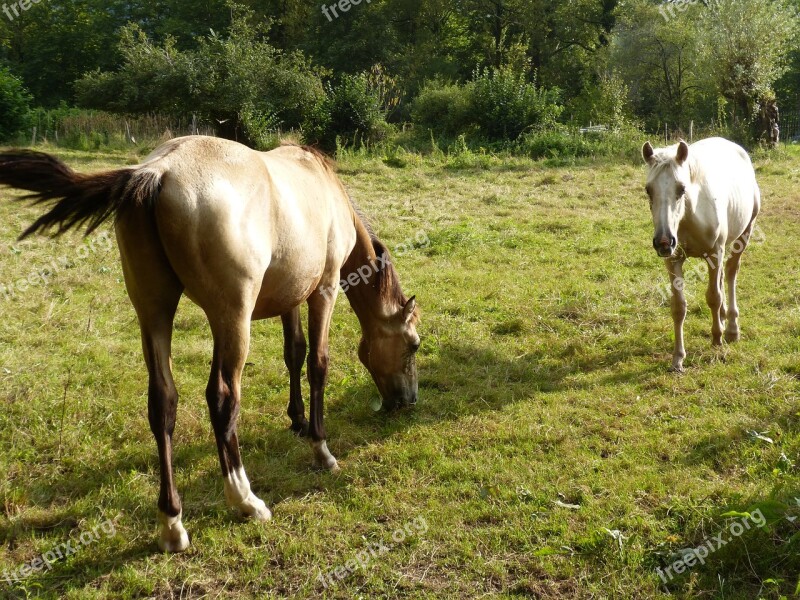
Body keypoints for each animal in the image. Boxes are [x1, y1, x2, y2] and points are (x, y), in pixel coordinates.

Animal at [0, 137, 422, 552]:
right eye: (413, 345)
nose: (408, 400)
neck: (322, 185)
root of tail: (157, 172)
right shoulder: (324, 289)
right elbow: (317, 363)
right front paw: (321, 448)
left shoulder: (290, 297)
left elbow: (294, 354)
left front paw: (298, 420)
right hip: (232, 318)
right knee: (223, 398)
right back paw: (245, 499)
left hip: (155, 312)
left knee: (163, 403)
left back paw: (172, 523)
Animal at [640, 137, 760, 370]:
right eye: (649, 190)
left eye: (681, 188)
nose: (663, 241)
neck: (689, 216)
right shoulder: (673, 260)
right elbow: (678, 307)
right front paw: (678, 358)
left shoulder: (714, 253)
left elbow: (714, 296)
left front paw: (717, 339)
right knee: (722, 277)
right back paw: (723, 318)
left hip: (744, 233)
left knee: (730, 274)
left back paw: (731, 328)